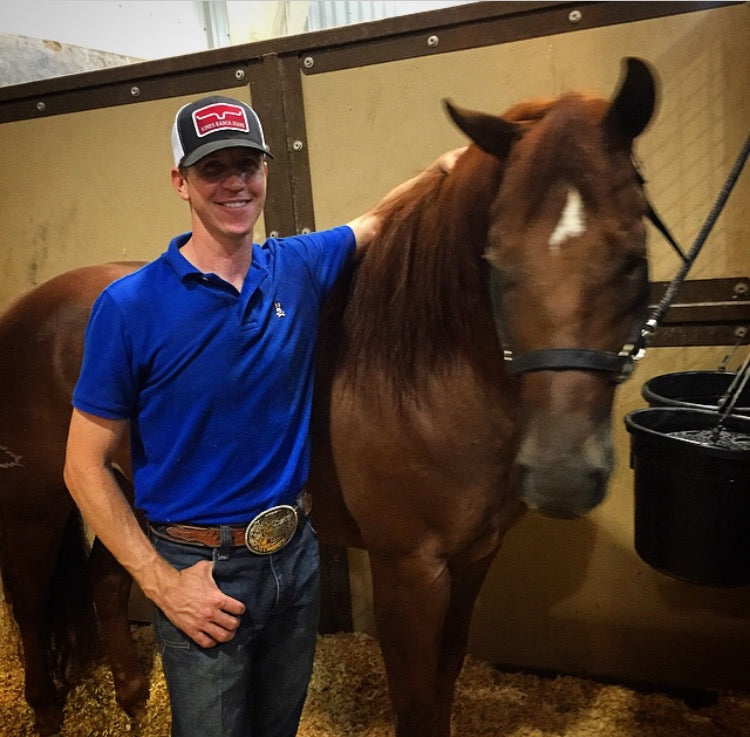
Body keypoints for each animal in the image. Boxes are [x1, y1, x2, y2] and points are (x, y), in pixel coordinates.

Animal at [0, 59, 656, 736]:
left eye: (633, 259)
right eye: (496, 260)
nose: (561, 477)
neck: (431, 376)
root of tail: (27, 309)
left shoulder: (475, 557)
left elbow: (445, 680)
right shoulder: (410, 570)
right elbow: (416, 704)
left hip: (125, 489)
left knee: (107, 581)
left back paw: (132, 698)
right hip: (36, 501)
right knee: (28, 599)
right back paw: (46, 710)